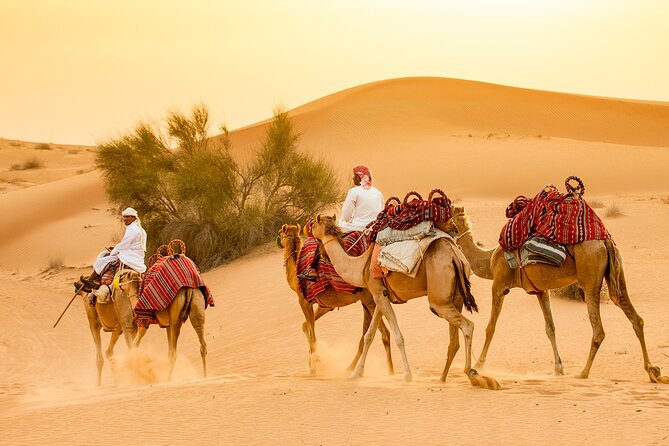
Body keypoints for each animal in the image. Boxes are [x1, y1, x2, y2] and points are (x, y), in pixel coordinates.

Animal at [279, 224, 394, 375]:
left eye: (280, 232)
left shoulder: (303, 300)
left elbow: (310, 329)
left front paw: (314, 364)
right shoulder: (325, 305)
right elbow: (305, 326)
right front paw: (313, 360)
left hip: (369, 297)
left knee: (382, 334)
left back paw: (387, 371)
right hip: (368, 299)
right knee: (365, 336)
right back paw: (351, 368)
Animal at [310, 215, 500, 389]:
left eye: (313, 224)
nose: (307, 229)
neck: (360, 266)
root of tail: (455, 256)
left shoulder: (377, 293)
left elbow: (398, 336)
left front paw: (407, 376)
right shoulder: (381, 295)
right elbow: (369, 335)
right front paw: (356, 373)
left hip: (439, 300)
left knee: (468, 326)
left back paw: (471, 373)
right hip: (456, 296)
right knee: (457, 335)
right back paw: (452, 377)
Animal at [447, 205, 668, 383]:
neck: (489, 259)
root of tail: (605, 242)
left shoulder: (499, 284)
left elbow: (490, 327)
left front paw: (478, 366)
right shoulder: (540, 290)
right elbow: (550, 328)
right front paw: (558, 369)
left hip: (589, 280)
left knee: (598, 330)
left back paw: (583, 373)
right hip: (615, 276)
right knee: (635, 317)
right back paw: (652, 370)